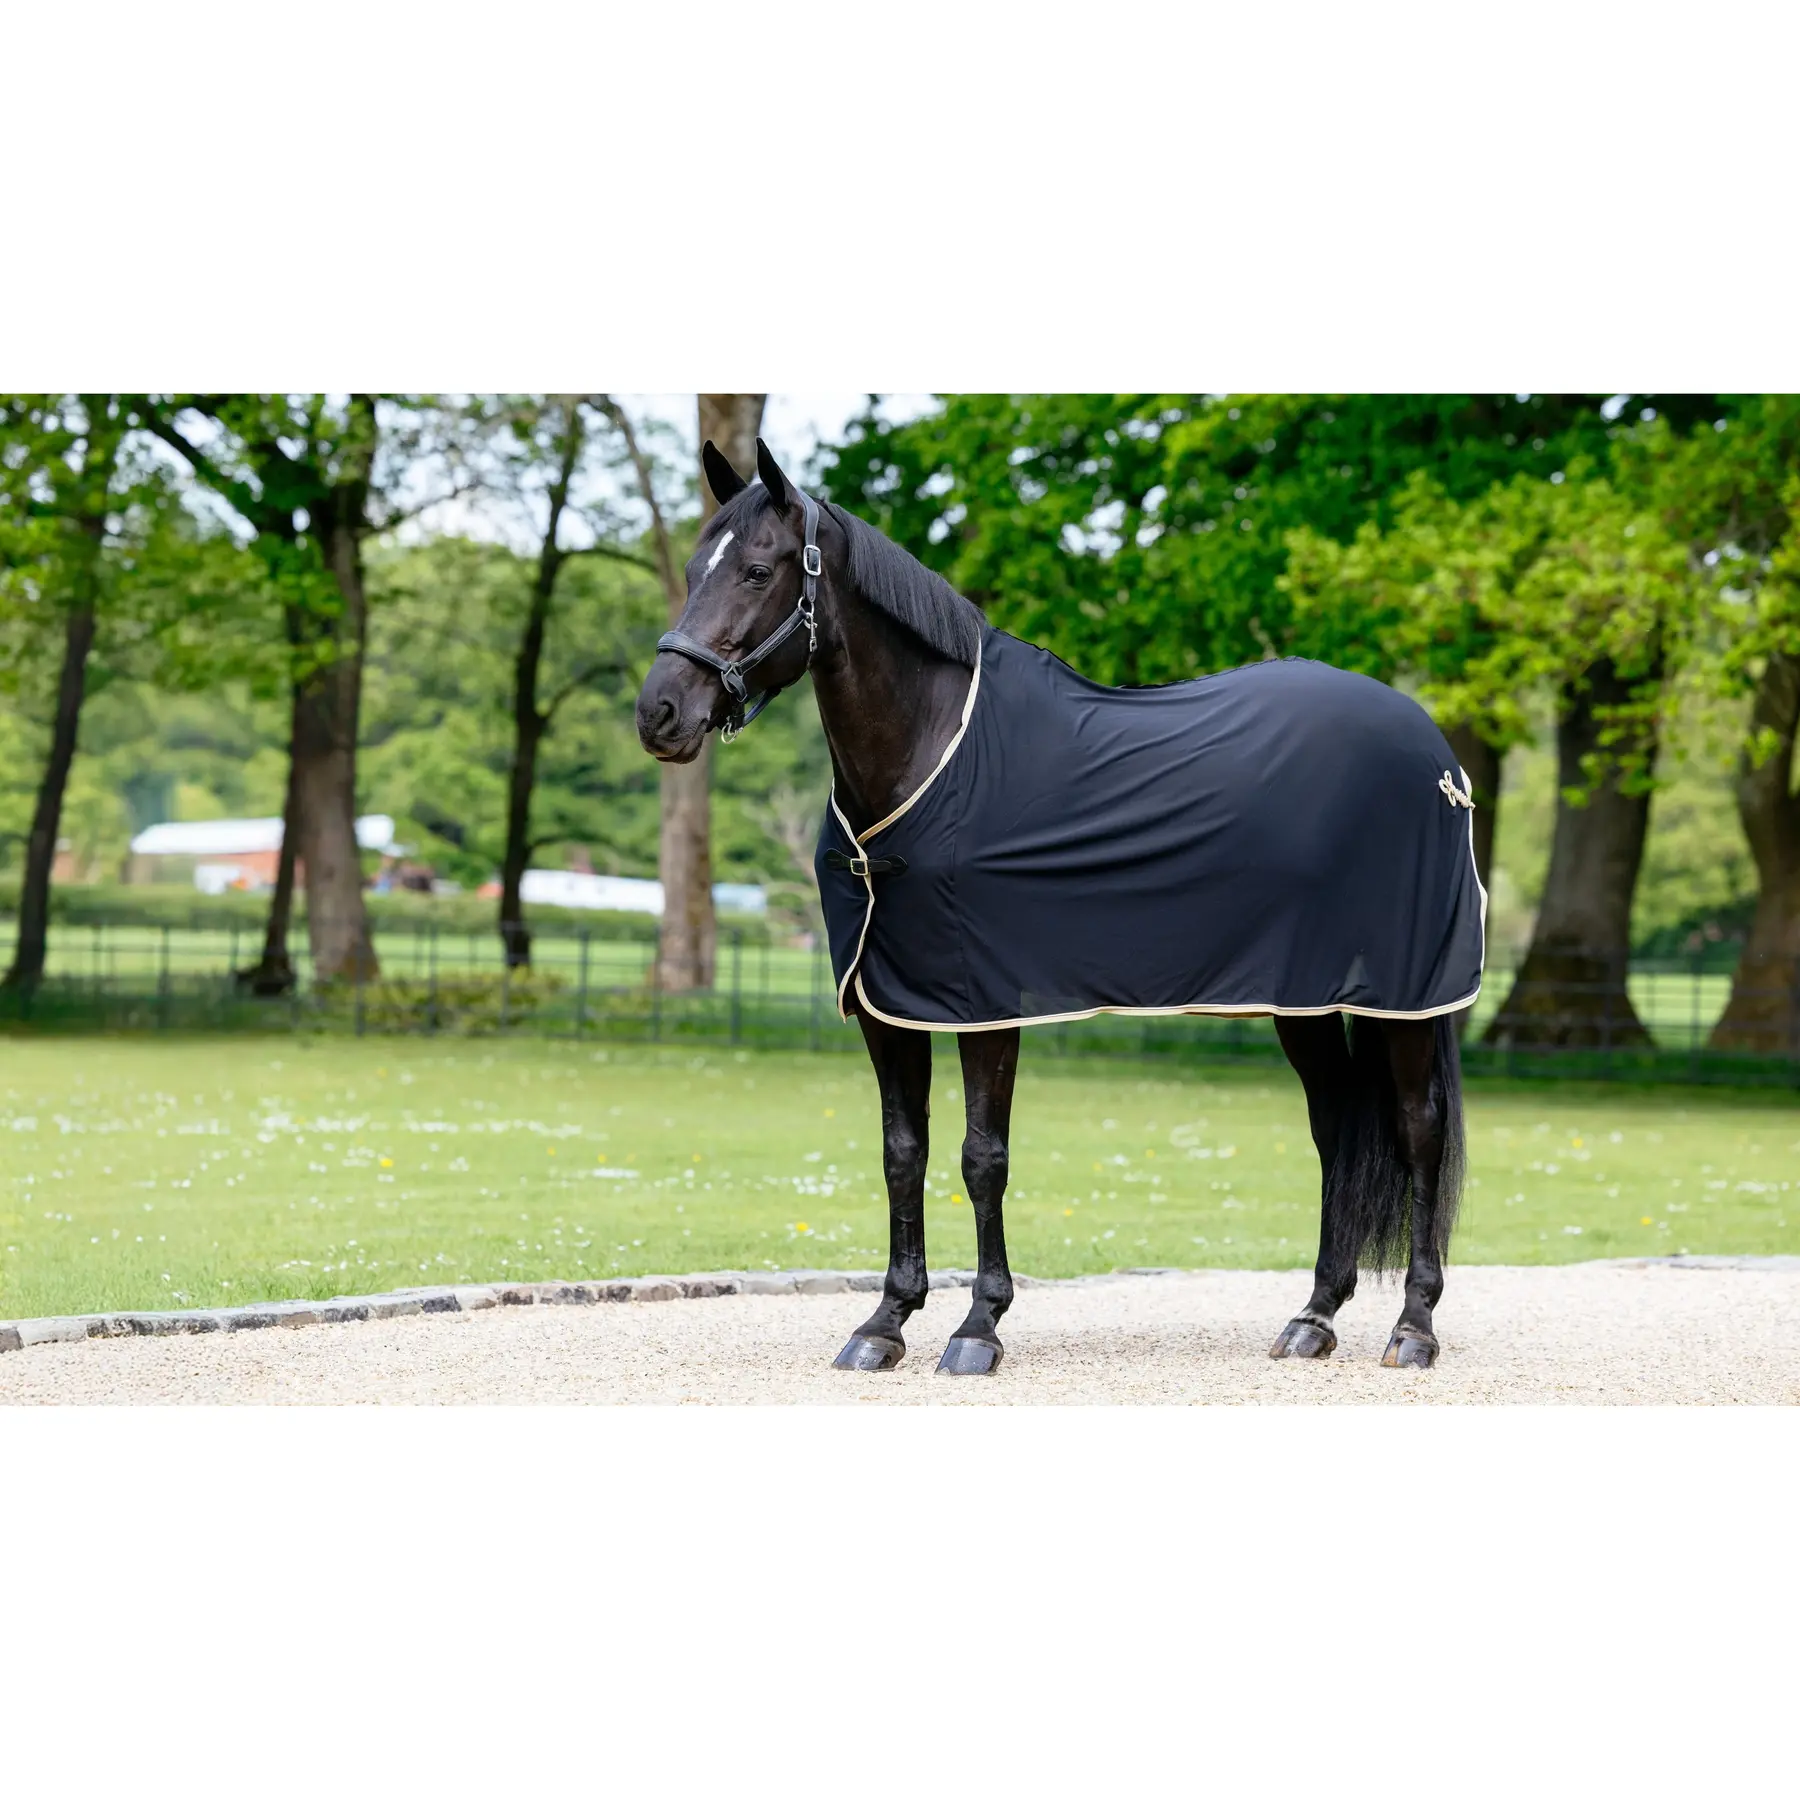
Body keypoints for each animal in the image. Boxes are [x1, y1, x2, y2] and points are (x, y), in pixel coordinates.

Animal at [636, 438, 1477, 1376]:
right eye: (691, 573)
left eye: (755, 570)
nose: (658, 712)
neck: (932, 752)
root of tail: (1437, 757)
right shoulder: (887, 1008)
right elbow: (901, 1153)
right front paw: (885, 1322)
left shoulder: (983, 1004)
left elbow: (981, 1158)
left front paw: (977, 1327)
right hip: (1307, 1000)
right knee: (1337, 1132)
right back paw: (1314, 1318)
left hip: (1405, 998)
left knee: (1418, 1131)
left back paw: (1413, 1328)